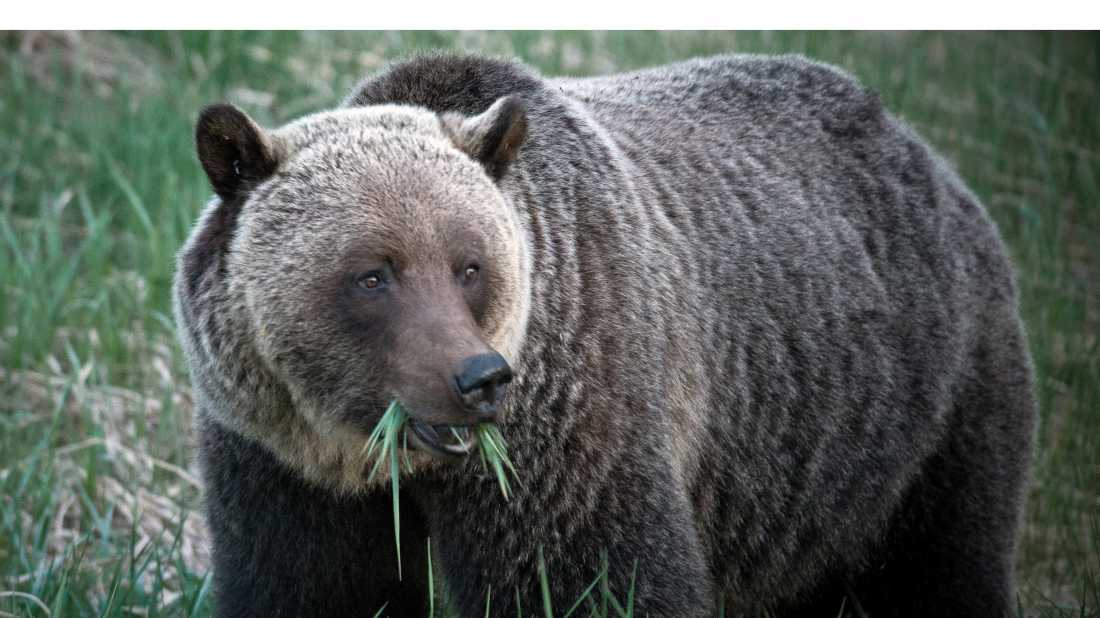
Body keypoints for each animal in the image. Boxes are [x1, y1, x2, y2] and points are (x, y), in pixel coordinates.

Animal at [173, 53, 1037, 617]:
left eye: (470, 265)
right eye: (373, 275)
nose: (477, 379)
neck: (375, 459)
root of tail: (930, 156)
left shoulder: (570, 423)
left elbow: (593, 580)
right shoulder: (282, 460)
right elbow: (310, 584)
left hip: (926, 413)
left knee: (943, 563)